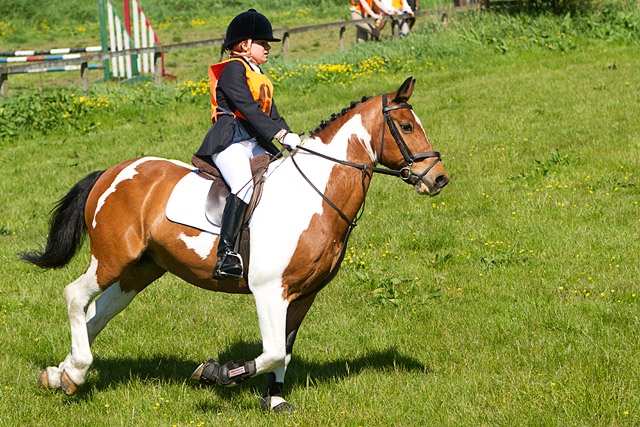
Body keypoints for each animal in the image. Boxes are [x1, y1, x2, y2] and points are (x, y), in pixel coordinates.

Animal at [21, 77, 450, 414]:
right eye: (407, 126)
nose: (439, 179)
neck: (315, 194)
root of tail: (110, 172)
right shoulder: (269, 291)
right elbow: (272, 350)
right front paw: (217, 373)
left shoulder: (304, 293)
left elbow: (285, 350)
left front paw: (275, 400)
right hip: (112, 258)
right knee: (75, 296)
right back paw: (76, 371)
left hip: (140, 270)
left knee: (98, 314)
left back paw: (60, 376)